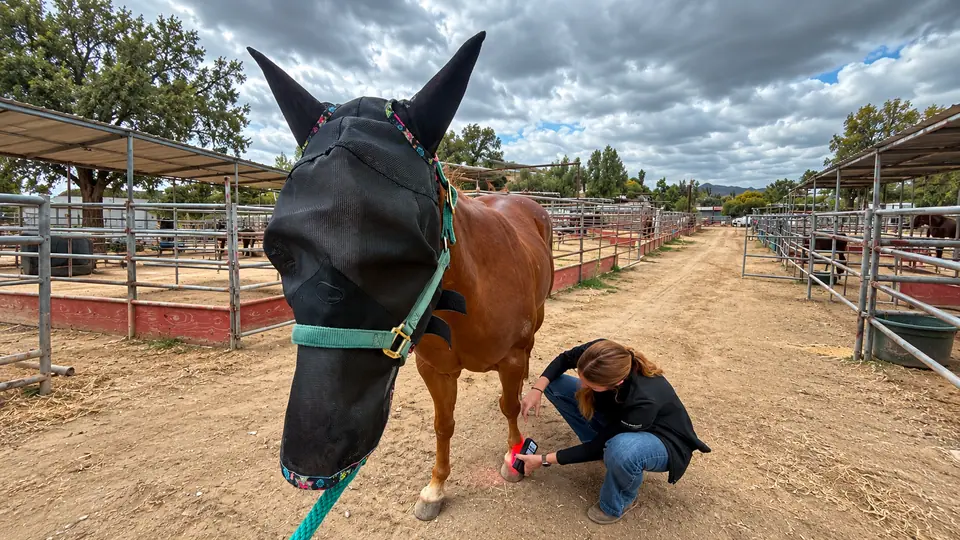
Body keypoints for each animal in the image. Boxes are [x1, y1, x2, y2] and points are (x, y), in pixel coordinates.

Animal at [248, 31, 554, 521]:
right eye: (278, 251)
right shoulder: (435, 369)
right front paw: (435, 488)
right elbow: (443, 424)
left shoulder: (509, 358)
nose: (312, 458)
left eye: (407, 256)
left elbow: (508, 405)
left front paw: (514, 456)